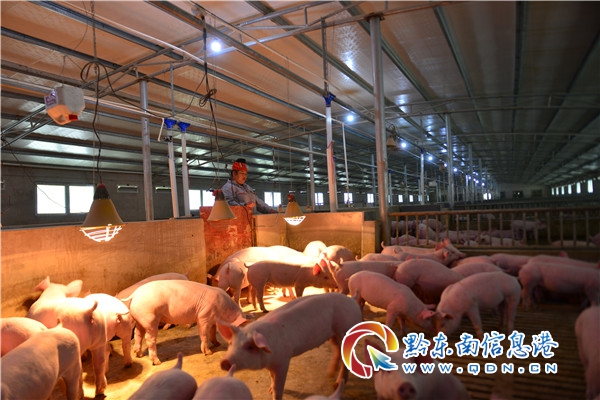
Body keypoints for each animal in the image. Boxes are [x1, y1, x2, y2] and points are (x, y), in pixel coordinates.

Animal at [218, 292, 363, 400]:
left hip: (346, 328)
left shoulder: (283, 361)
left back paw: (336, 384)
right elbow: (272, 377)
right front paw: (269, 389)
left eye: (249, 347)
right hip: (333, 335)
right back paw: (330, 373)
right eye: (231, 343)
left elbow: (279, 387)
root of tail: (351, 299)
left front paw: (274, 392)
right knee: (338, 350)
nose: (224, 362)